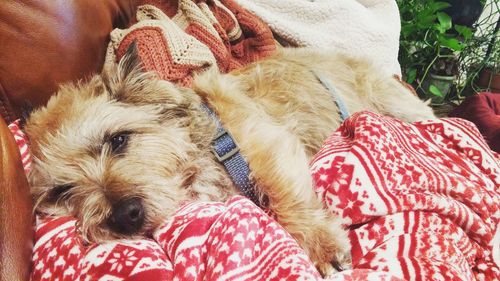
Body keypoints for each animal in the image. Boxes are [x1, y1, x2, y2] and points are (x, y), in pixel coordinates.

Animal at [25, 44, 436, 276]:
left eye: (118, 140)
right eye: (63, 191)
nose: (126, 216)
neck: (209, 146)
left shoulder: (269, 145)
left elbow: (287, 197)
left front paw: (320, 244)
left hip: (403, 107)